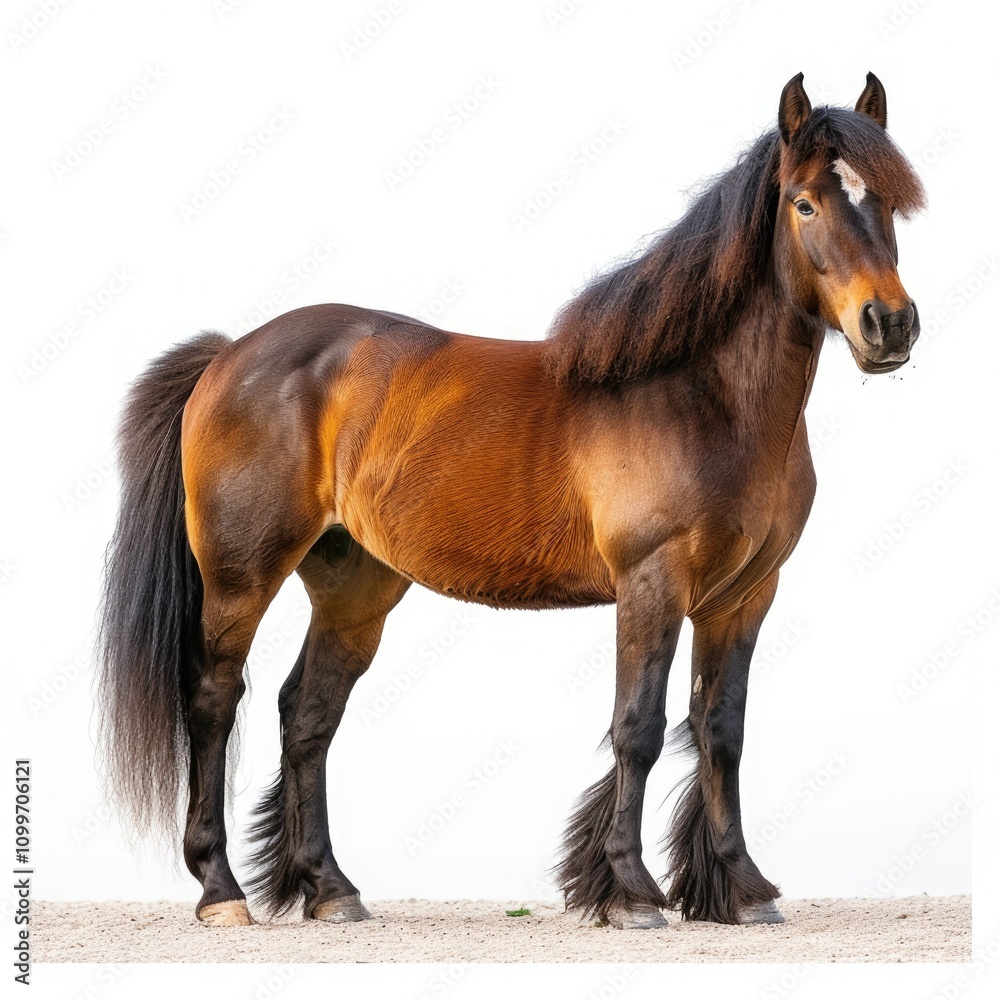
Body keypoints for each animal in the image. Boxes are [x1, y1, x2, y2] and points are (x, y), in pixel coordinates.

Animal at [97, 72, 925, 930]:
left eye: (890, 204)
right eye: (804, 203)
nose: (889, 325)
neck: (703, 397)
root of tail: (230, 355)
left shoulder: (745, 595)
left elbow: (720, 731)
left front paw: (740, 889)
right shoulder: (652, 583)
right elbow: (639, 727)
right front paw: (630, 892)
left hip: (354, 587)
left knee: (308, 715)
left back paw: (331, 888)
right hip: (240, 577)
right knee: (214, 699)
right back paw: (221, 890)